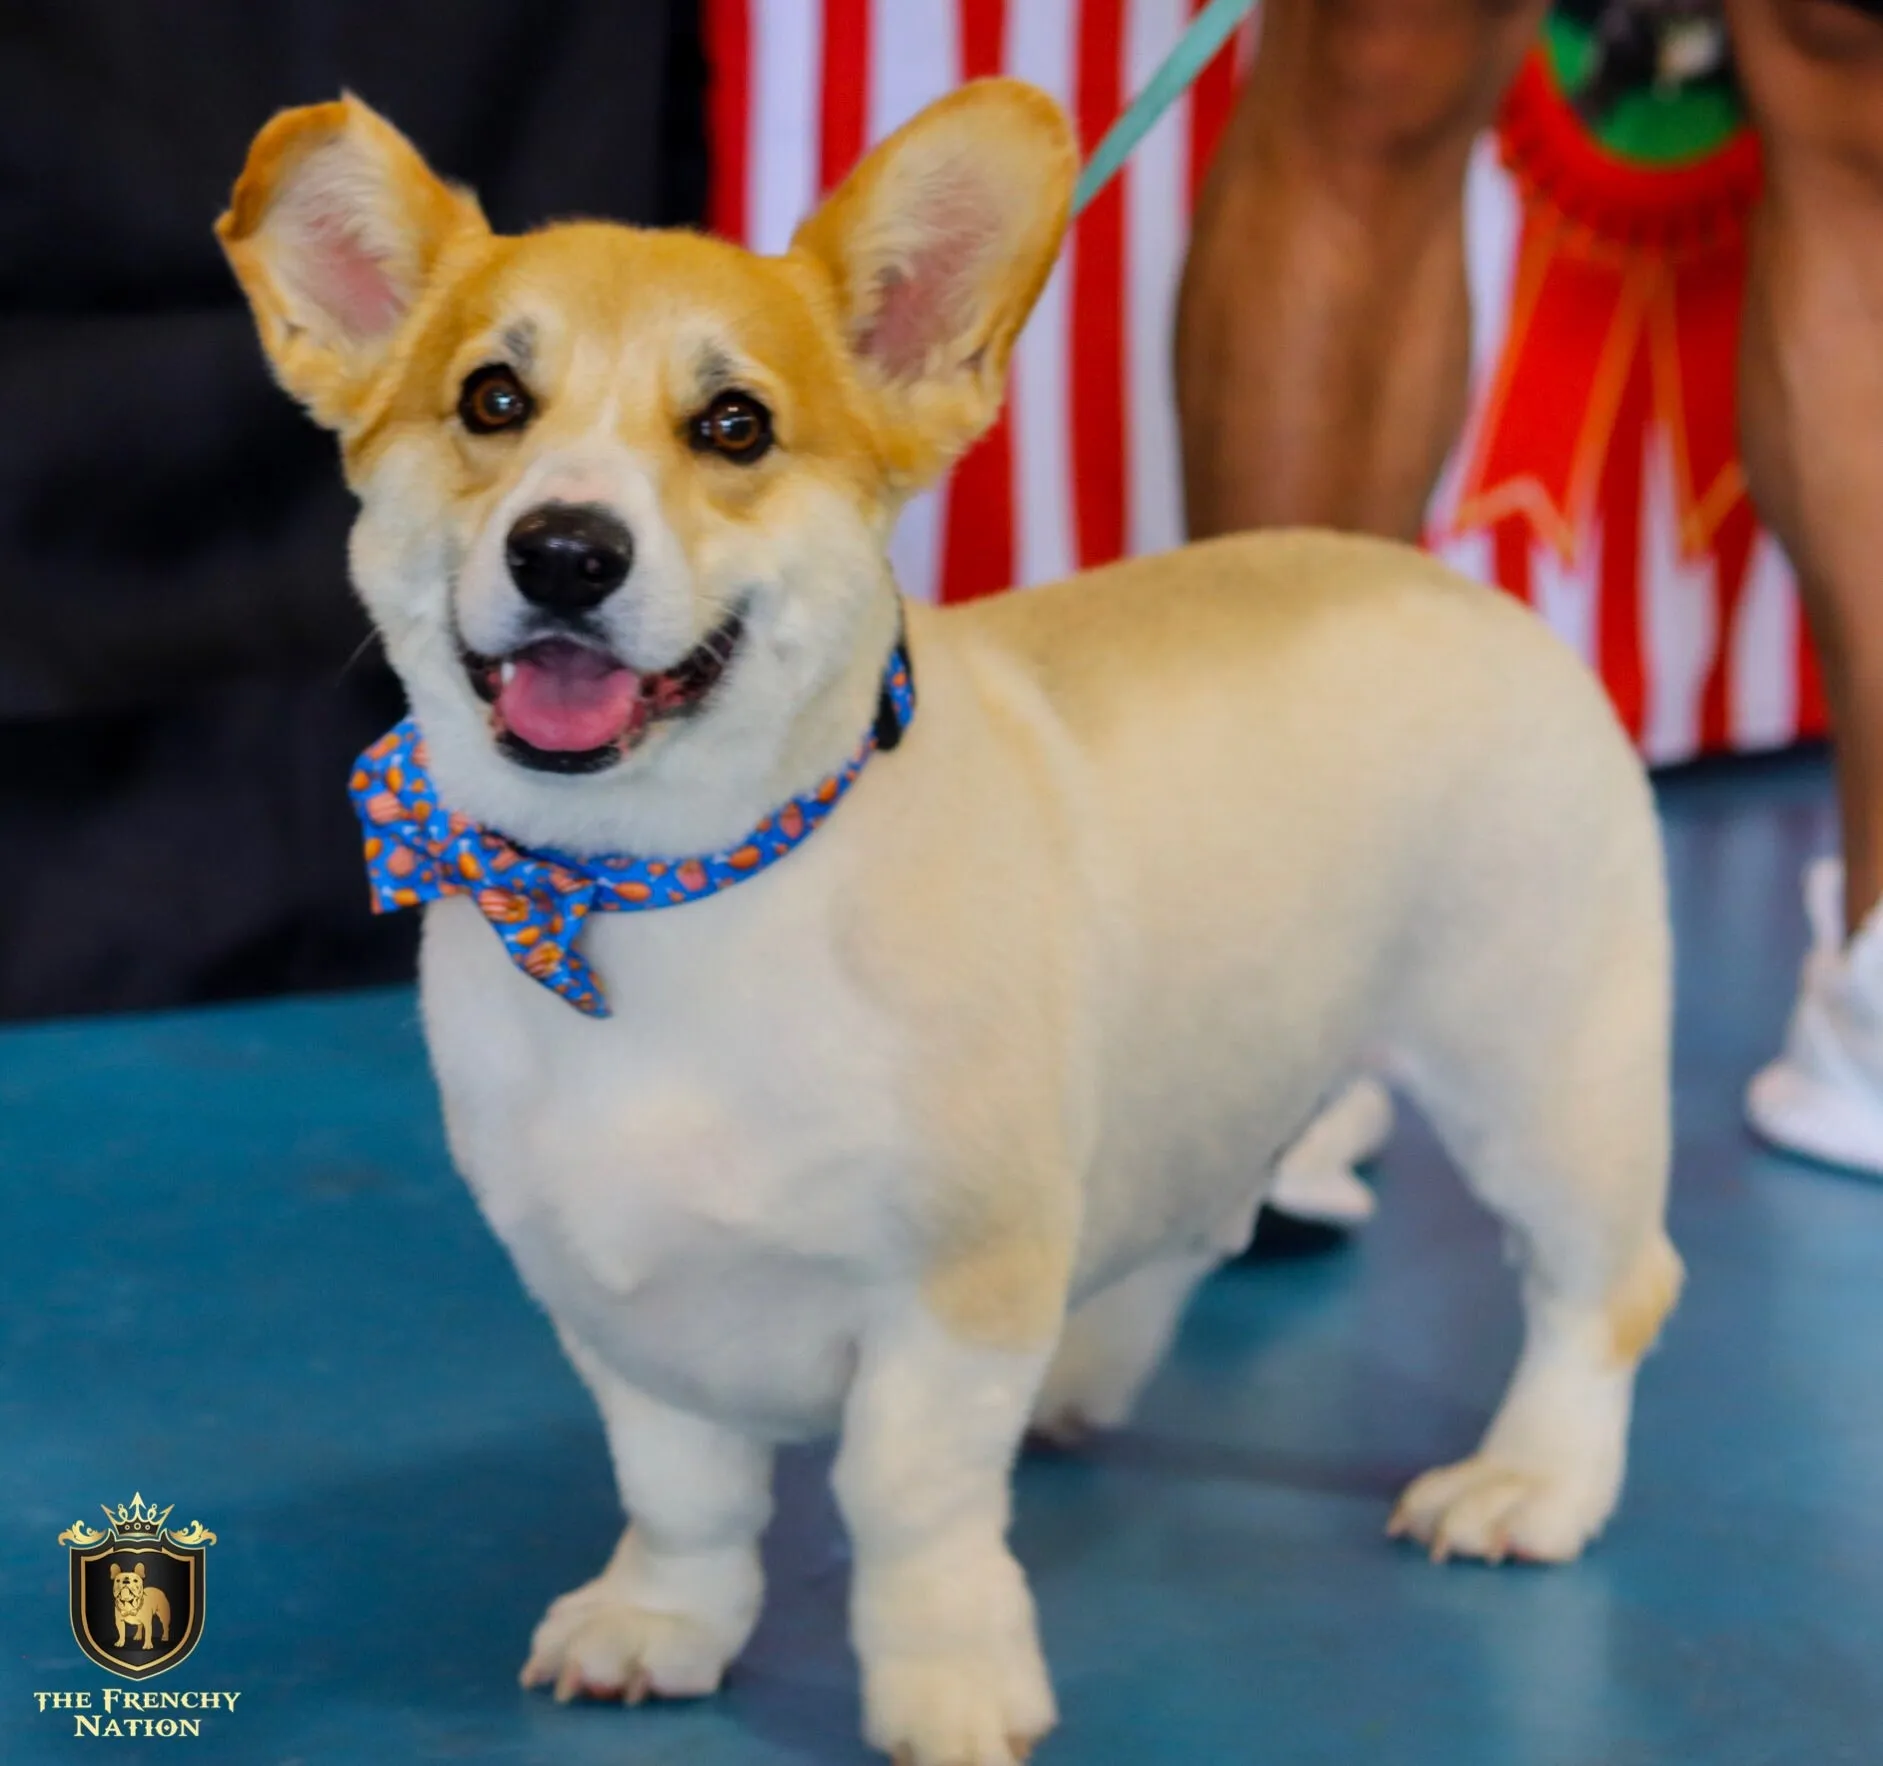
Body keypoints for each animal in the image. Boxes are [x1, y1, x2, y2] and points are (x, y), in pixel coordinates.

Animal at [216, 79, 1679, 1762]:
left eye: (734, 426)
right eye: (492, 400)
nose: (565, 552)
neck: (657, 888)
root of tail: (1463, 587)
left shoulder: (952, 1288)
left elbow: (903, 1502)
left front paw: (948, 1685)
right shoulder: (619, 1306)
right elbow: (682, 1496)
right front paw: (659, 1626)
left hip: (1540, 1075)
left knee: (1599, 1289)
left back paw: (1529, 1482)